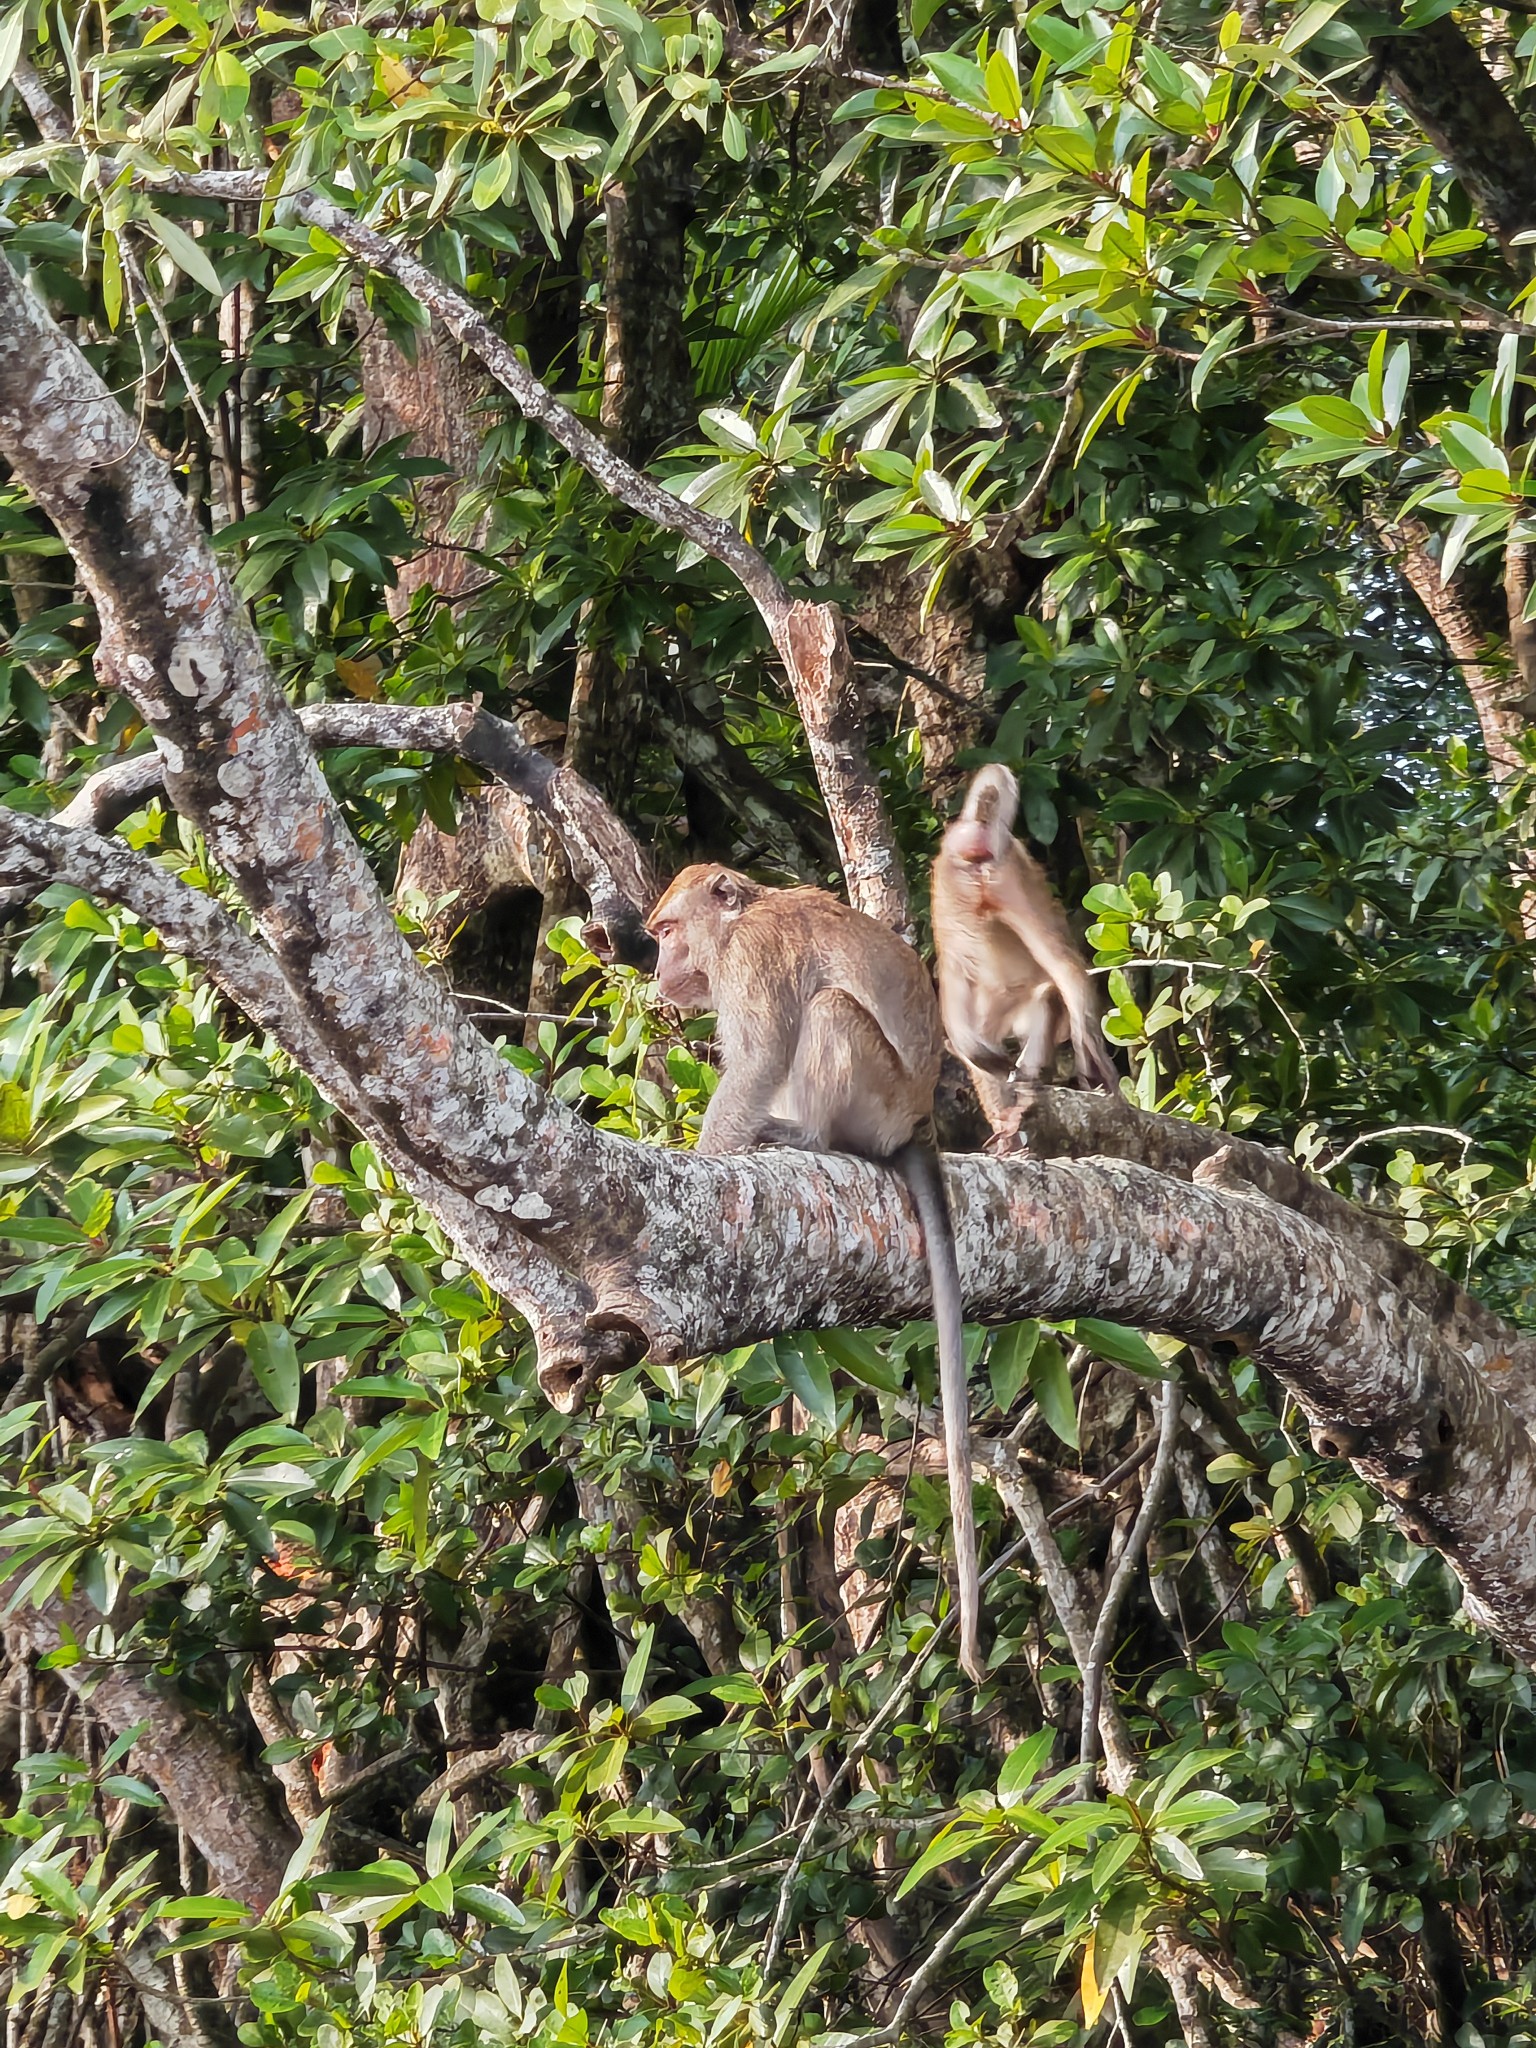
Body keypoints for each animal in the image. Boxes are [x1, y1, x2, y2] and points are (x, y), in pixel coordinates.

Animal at [647, 860, 987, 1679]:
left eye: (669, 932)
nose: (656, 967)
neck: (740, 920)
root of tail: (918, 1120)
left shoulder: (753, 962)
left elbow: (760, 1057)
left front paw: (705, 1163)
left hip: (877, 1099)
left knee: (828, 1013)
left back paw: (811, 1135)